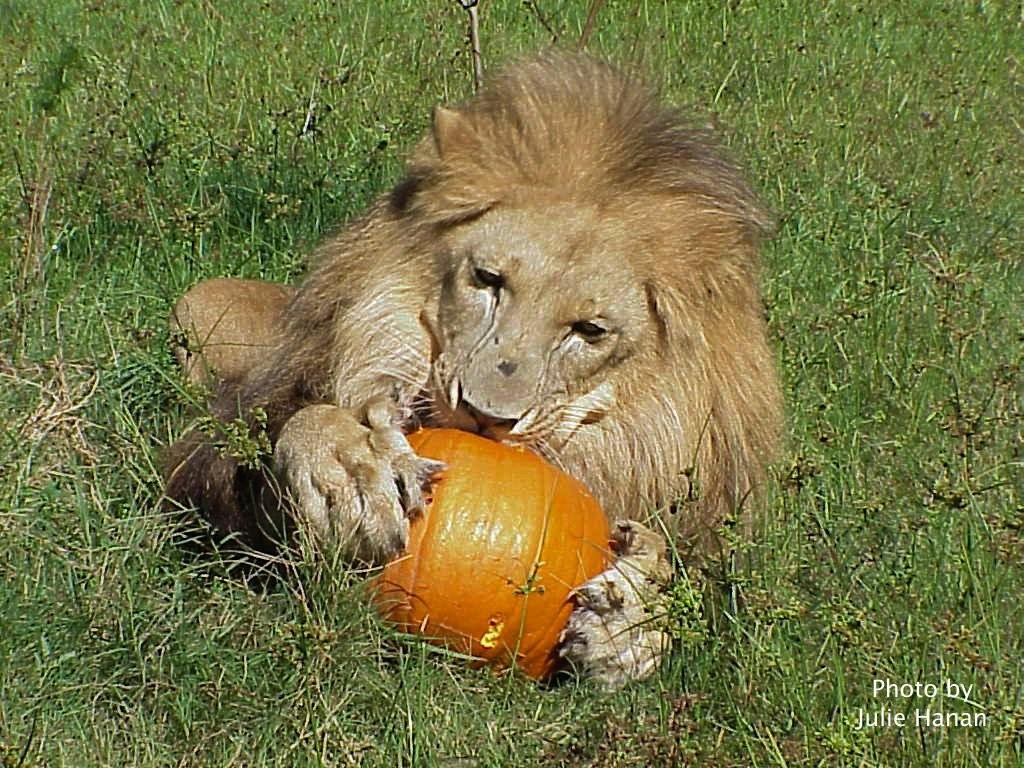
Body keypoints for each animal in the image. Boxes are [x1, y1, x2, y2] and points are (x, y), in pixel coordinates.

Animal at [164, 52, 782, 688]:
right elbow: (289, 429)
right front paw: (351, 469)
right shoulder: (205, 470)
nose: (487, 416)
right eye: (488, 280)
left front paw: (629, 615)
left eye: (589, 330)